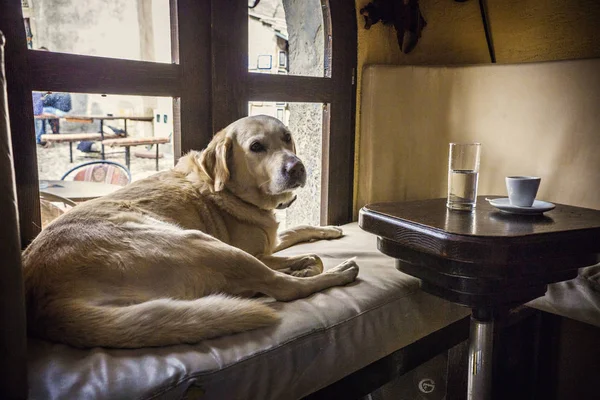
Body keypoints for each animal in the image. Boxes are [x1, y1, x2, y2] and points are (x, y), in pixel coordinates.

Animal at [23, 115, 358, 346]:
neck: (231, 191)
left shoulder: (270, 240)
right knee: (283, 287)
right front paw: (308, 262)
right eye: (257, 147)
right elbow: (302, 256)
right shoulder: (257, 251)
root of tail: (43, 304)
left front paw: (327, 229)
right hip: (204, 244)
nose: (297, 167)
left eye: (287, 138)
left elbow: (297, 229)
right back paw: (336, 272)